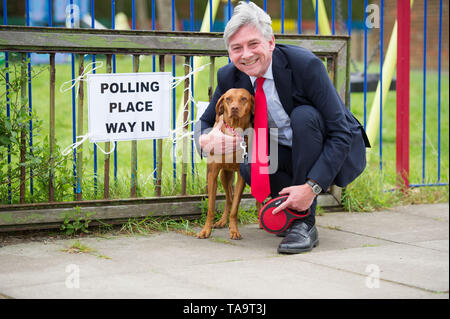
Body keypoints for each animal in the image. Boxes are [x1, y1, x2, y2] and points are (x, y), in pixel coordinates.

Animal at [196, 88, 255, 240]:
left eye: (244, 99)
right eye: (228, 99)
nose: (234, 108)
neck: (233, 130)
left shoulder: (241, 176)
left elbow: (235, 208)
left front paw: (234, 230)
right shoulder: (212, 174)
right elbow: (211, 207)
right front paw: (206, 230)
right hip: (224, 175)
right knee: (229, 198)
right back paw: (222, 221)